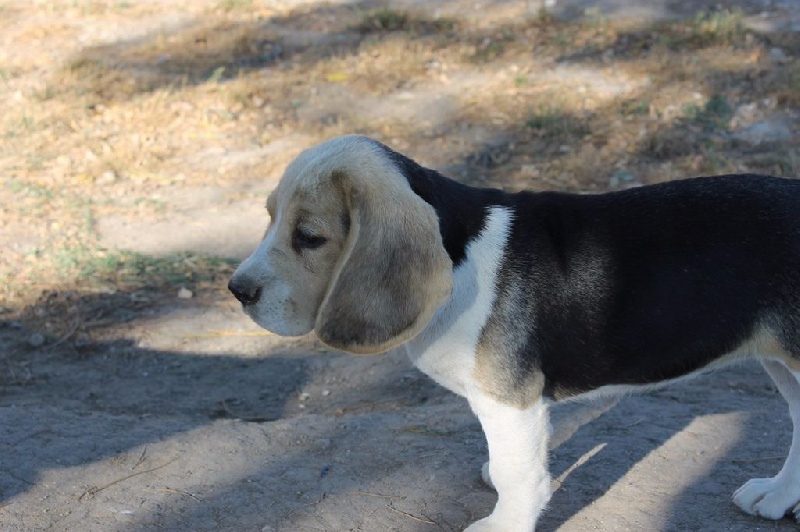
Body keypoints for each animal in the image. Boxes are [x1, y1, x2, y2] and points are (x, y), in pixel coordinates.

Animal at [227, 135, 800, 528]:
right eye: (269, 217)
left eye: (309, 237)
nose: (237, 290)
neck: (459, 255)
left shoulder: (510, 401)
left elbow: (517, 473)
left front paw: (504, 522)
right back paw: (776, 496)